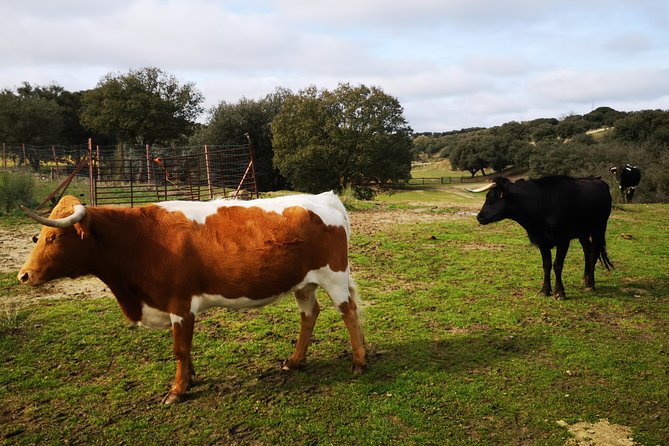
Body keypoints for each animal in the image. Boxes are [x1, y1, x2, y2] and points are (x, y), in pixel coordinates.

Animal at [18, 192, 365, 404]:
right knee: (310, 314)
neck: (139, 241)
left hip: (334, 276)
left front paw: (178, 389)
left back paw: (359, 361)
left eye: (53, 236)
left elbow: (180, 349)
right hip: (303, 283)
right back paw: (294, 361)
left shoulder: (179, 303)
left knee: (348, 312)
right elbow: (185, 348)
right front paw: (190, 379)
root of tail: (323, 198)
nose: (24, 275)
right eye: (38, 237)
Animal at [467, 176, 613, 300]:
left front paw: (559, 292)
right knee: (587, 251)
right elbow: (546, 265)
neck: (541, 203)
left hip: (599, 228)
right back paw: (585, 278)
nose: (479, 217)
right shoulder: (542, 241)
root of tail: (597, 180)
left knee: (593, 253)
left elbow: (557, 265)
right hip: (583, 232)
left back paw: (590, 283)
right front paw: (545, 290)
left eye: (492, 198)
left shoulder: (563, 240)